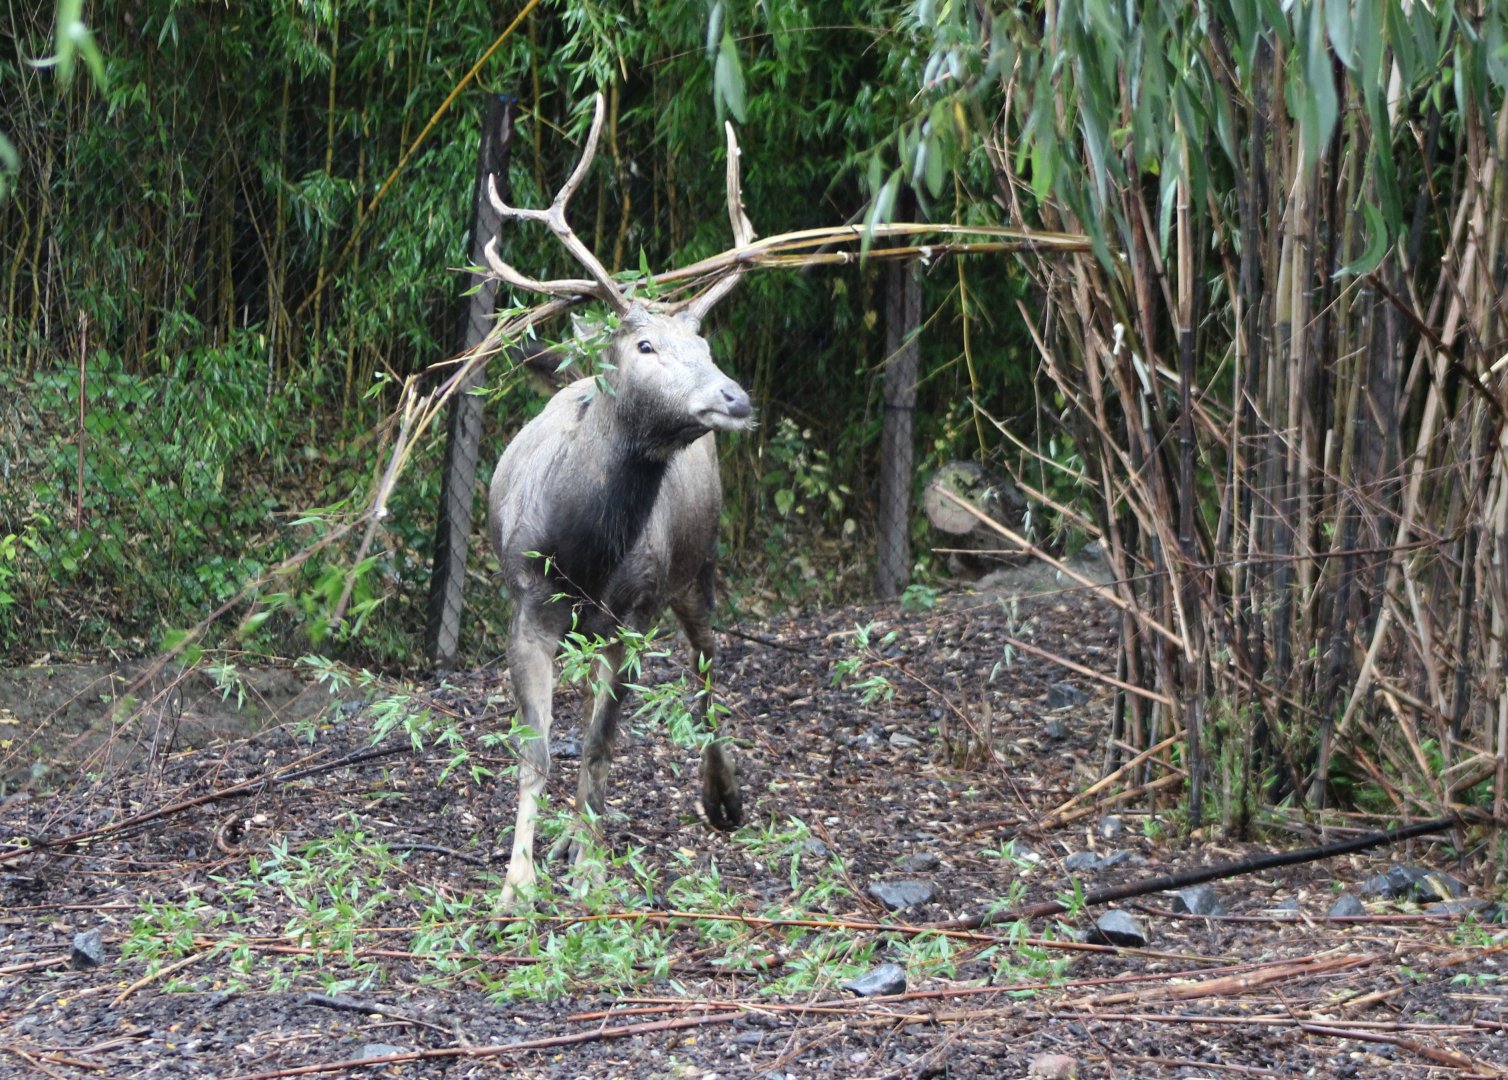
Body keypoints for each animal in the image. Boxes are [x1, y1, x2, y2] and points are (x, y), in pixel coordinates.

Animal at [483, 95, 756, 904]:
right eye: (645, 347)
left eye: (705, 346)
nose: (734, 397)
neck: (584, 554)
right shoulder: (527, 603)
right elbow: (539, 748)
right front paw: (518, 883)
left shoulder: (634, 612)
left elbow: (603, 742)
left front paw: (591, 867)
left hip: (699, 565)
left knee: (706, 664)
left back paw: (720, 797)